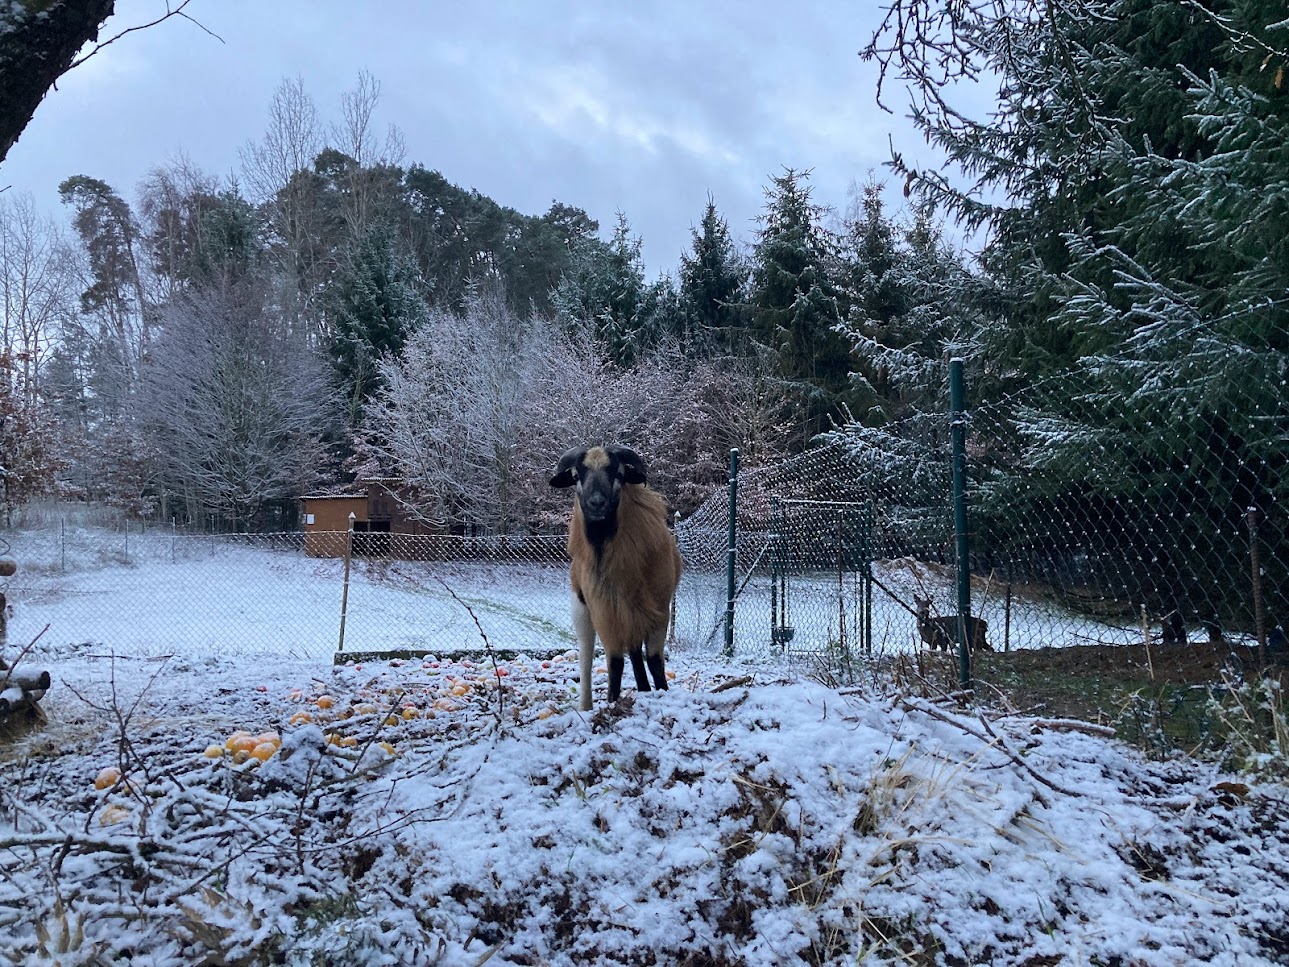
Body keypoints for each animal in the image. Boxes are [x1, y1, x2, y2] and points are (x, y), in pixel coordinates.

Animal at [549, 446, 680, 711]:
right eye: (576, 476)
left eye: (618, 473)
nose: (597, 503)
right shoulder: (605, 611)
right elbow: (615, 662)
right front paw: (612, 700)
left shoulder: (659, 610)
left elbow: (654, 660)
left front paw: (661, 690)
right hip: (583, 611)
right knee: (587, 658)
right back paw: (586, 706)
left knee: (636, 652)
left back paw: (644, 687)